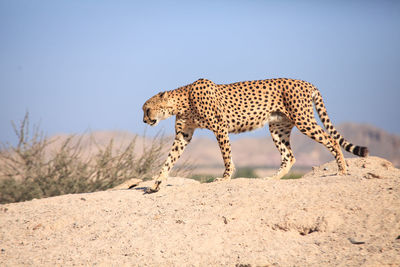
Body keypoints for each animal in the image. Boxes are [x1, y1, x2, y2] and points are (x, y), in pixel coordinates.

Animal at [143, 78, 368, 194]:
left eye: (147, 109)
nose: (144, 121)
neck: (182, 100)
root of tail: (306, 82)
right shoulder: (183, 135)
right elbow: (169, 159)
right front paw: (157, 182)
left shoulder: (220, 127)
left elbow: (226, 156)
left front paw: (225, 177)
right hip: (278, 128)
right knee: (289, 156)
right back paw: (273, 178)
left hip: (303, 120)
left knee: (331, 140)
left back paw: (342, 169)